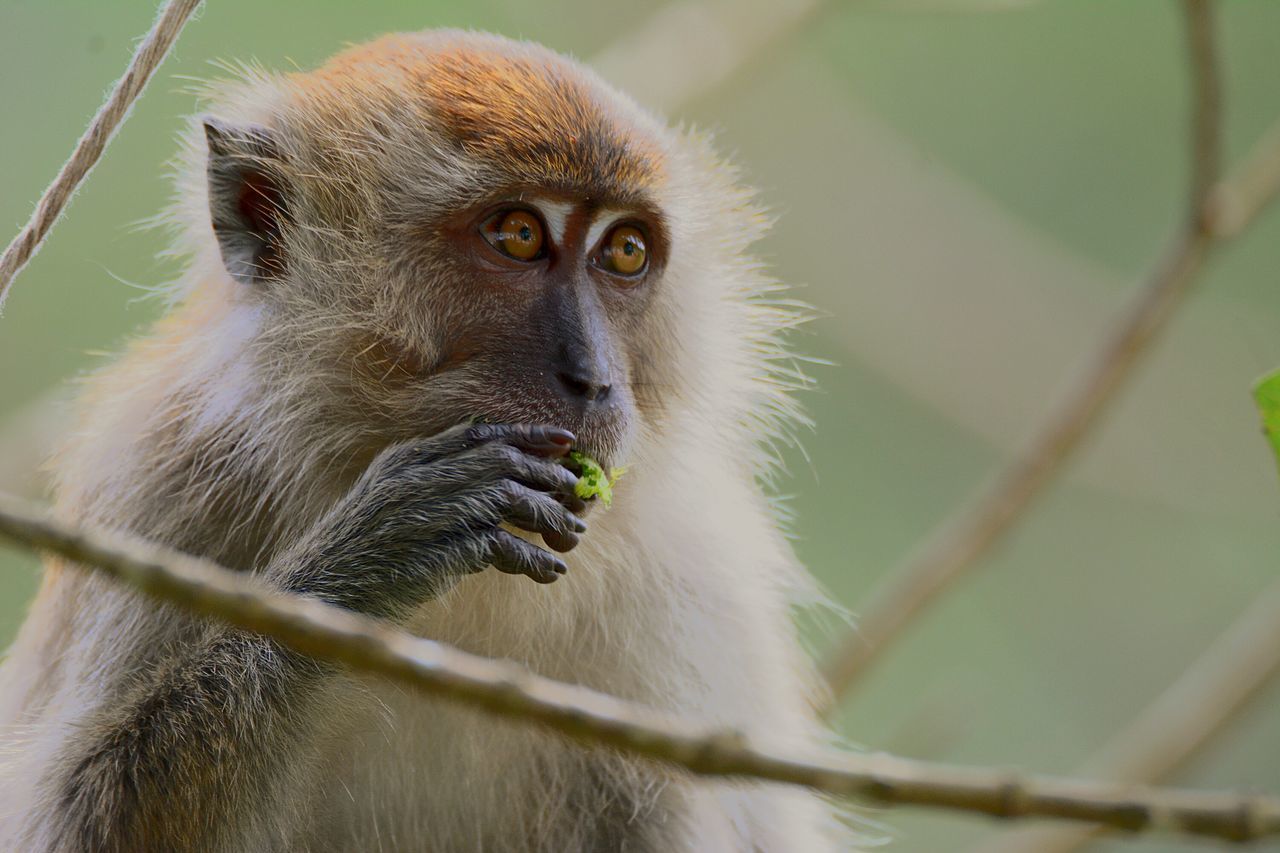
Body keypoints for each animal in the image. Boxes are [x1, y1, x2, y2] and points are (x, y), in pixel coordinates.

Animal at [0, 29, 849, 845]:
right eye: (517, 235)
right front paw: (373, 555)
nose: (594, 379)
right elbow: (78, 813)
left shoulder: (700, 570)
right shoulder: (160, 475)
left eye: (625, 250)